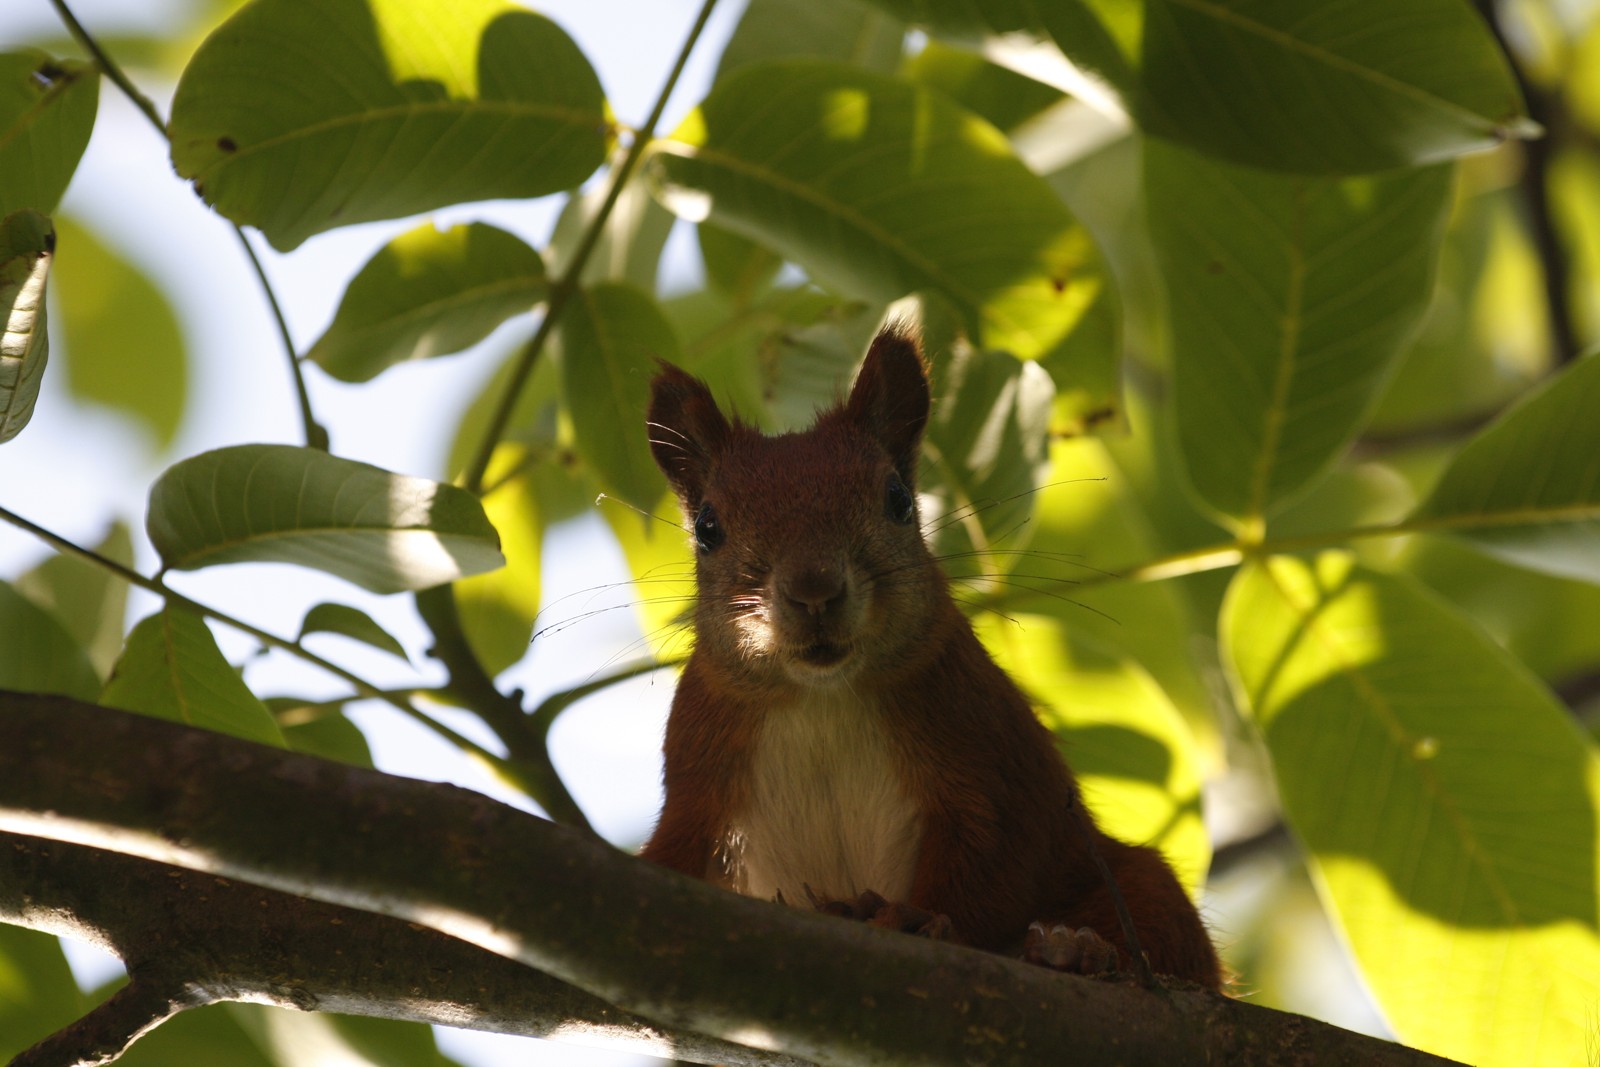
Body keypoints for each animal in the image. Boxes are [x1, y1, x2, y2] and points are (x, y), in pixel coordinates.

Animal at [639, 323, 1221, 990]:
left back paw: (1077, 950)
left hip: (1132, 883)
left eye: (898, 499)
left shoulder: (981, 743)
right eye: (708, 528)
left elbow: (991, 861)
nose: (814, 591)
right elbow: (675, 850)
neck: (821, 696)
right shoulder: (699, 763)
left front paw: (915, 919)